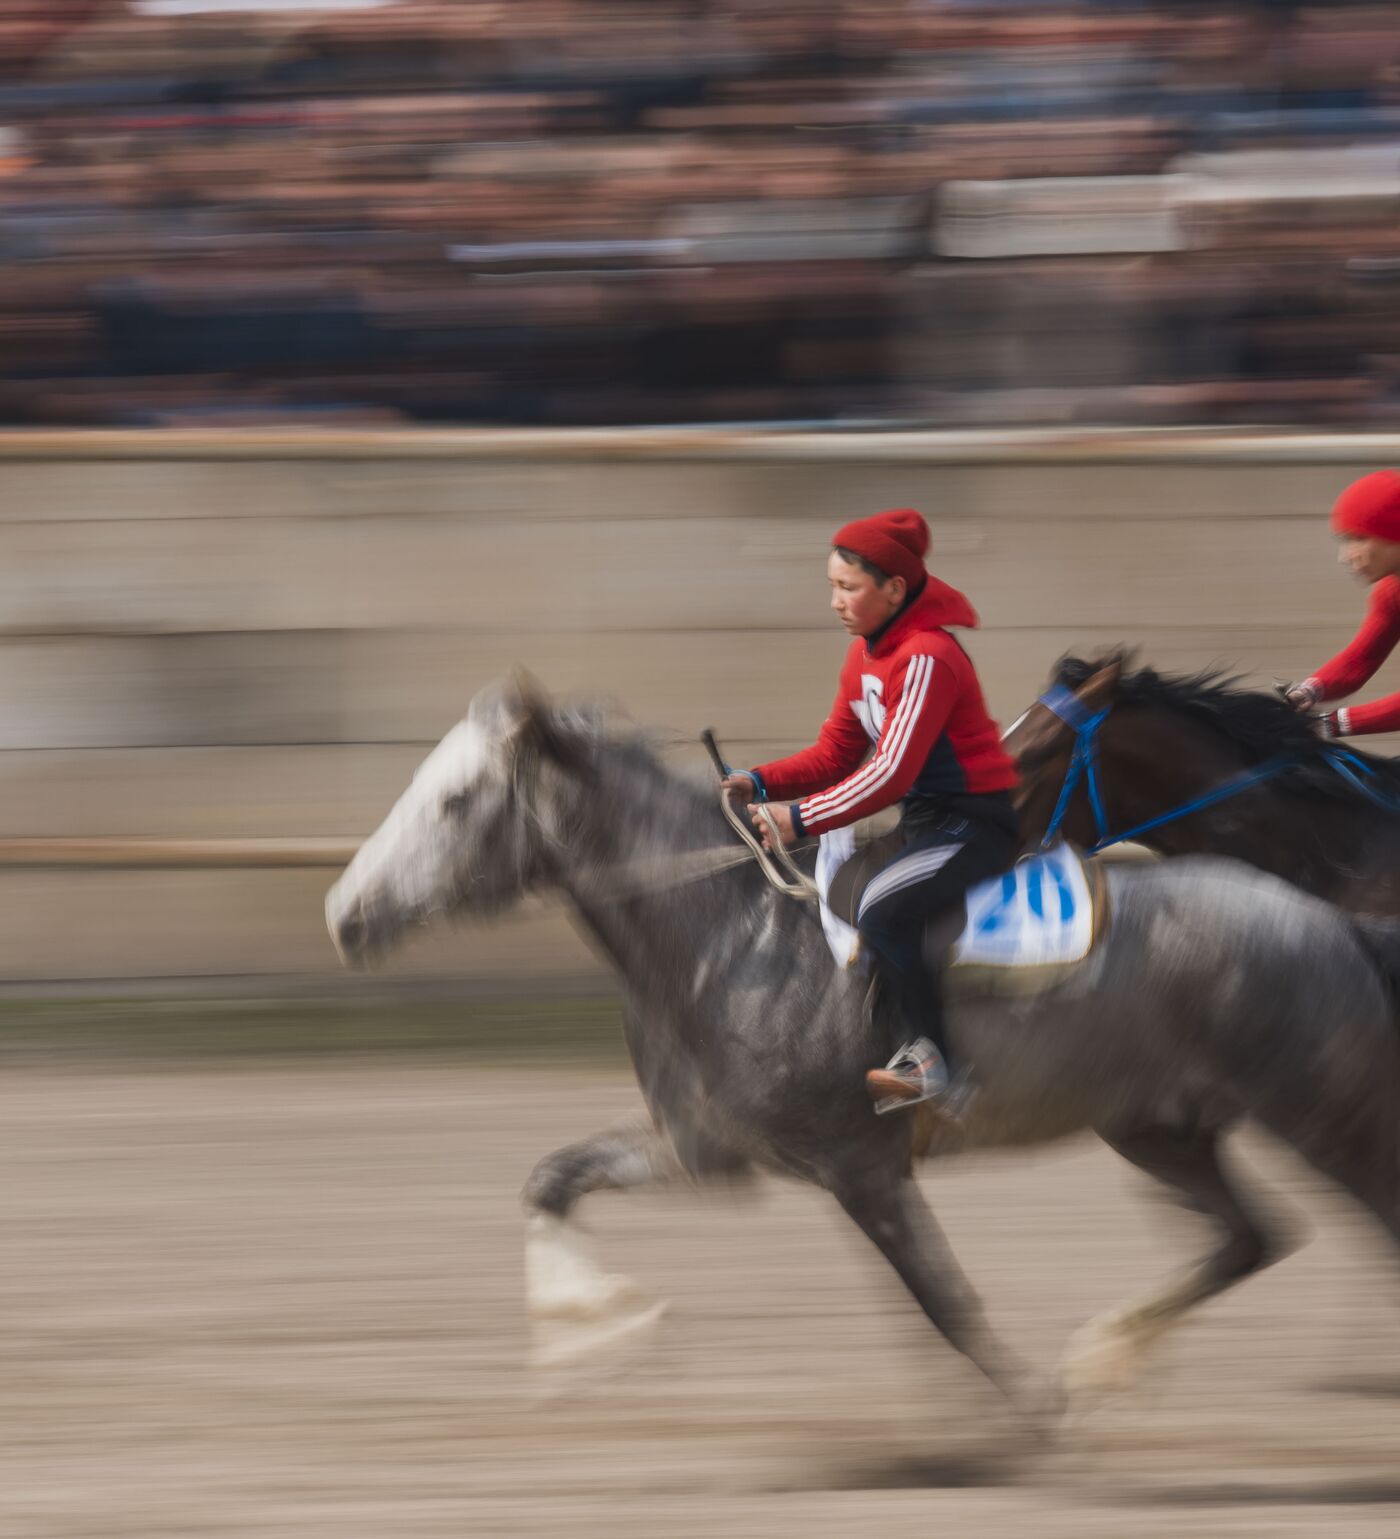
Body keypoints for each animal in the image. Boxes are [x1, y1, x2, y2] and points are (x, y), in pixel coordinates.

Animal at [329, 680, 1400, 1422]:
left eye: (458, 799)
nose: (345, 914)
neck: (732, 941)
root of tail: (1330, 921)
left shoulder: (862, 1167)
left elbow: (943, 1302)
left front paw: (1031, 1416)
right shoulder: (709, 1150)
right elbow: (551, 1179)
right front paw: (599, 1332)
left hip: (1326, 1118)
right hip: (1157, 1129)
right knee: (1249, 1237)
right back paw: (1111, 1350)